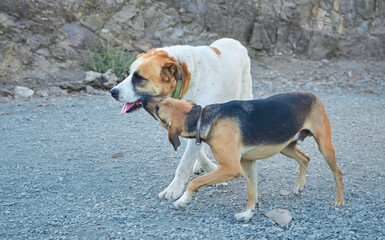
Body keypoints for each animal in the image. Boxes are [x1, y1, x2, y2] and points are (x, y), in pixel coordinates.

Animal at [109, 38, 252, 199]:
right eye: (128, 74)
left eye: (139, 78)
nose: (112, 92)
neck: (184, 81)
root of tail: (233, 40)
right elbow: (197, 153)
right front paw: (211, 170)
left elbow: (184, 163)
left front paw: (174, 189)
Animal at [140, 91, 344, 221]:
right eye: (162, 99)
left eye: (158, 110)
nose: (142, 98)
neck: (202, 118)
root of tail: (312, 95)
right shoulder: (247, 164)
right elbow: (252, 193)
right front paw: (247, 214)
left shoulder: (232, 168)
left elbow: (195, 182)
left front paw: (183, 200)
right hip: (285, 146)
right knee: (305, 159)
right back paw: (299, 185)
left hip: (324, 145)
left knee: (338, 173)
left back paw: (340, 200)